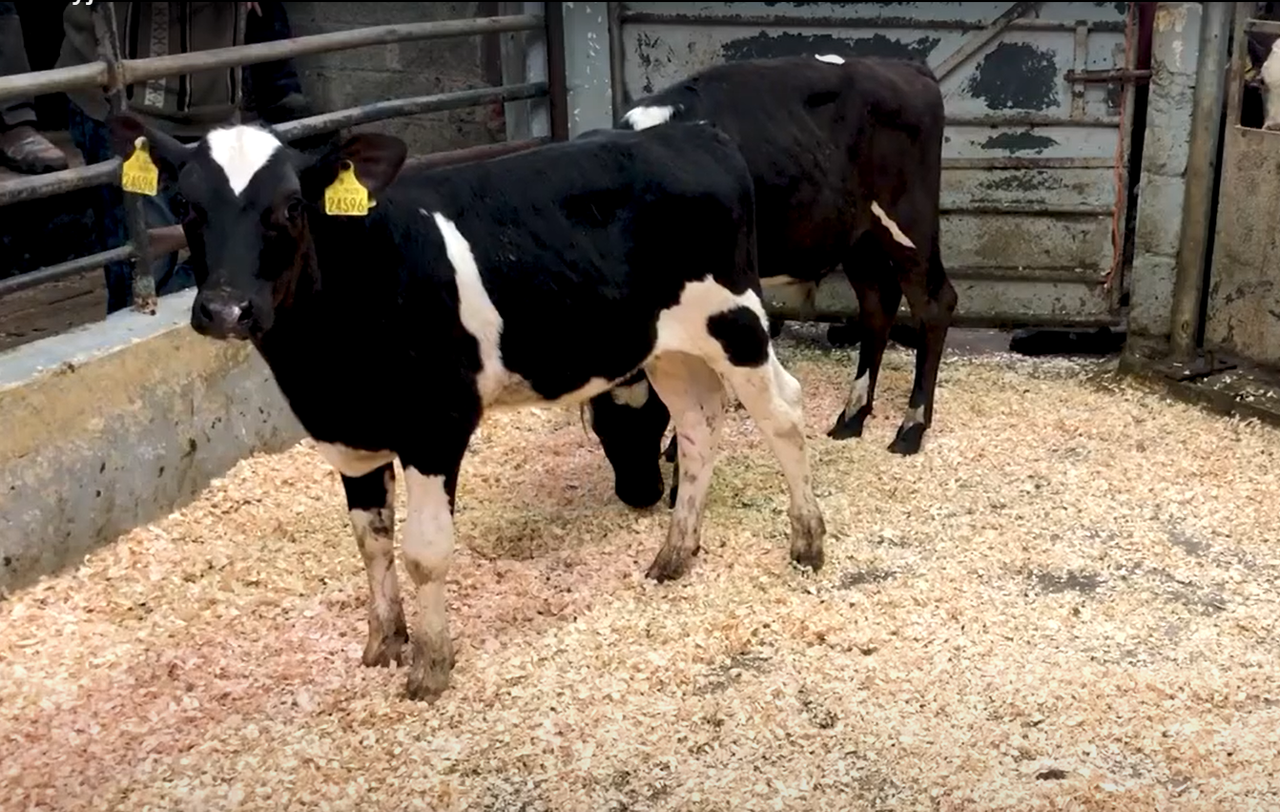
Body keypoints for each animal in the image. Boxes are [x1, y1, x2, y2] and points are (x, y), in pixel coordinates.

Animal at [105, 110, 827, 703]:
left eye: (289, 207)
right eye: (186, 204)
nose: (226, 309)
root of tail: (696, 134)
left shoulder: (435, 426)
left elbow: (424, 551)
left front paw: (430, 667)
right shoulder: (347, 436)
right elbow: (371, 543)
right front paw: (383, 644)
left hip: (735, 320)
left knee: (784, 414)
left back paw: (807, 541)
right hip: (663, 345)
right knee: (700, 427)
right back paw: (676, 553)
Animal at [585, 54, 957, 511]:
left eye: (653, 413)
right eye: (602, 422)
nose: (639, 494)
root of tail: (907, 67)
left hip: (908, 221)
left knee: (934, 304)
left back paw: (912, 425)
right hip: (857, 236)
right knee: (878, 303)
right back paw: (852, 415)